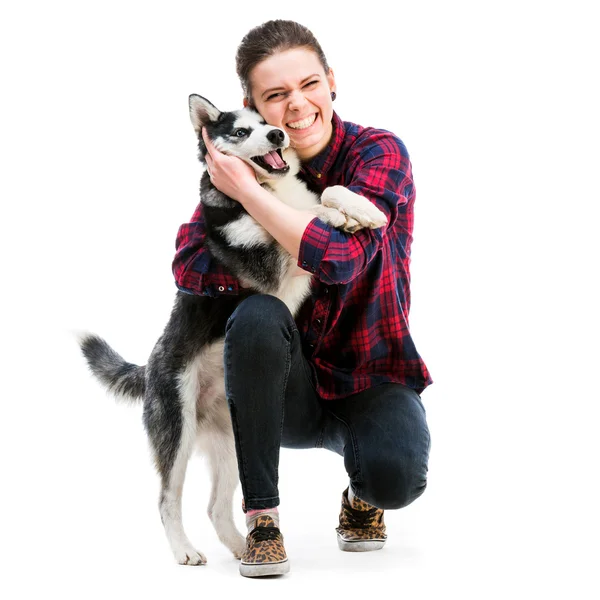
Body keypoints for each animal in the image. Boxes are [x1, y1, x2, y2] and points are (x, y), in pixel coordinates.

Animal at [77, 95, 386, 568]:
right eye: (240, 132)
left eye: (266, 121)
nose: (278, 134)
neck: (266, 191)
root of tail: (149, 365)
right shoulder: (271, 267)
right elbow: (309, 216)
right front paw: (344, 215)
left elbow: (325, 196)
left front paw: (362, 210)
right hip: (177, 430)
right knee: (167, 499)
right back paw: (185, 550)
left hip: (228, 441)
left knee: (216, 506)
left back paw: (245, 547)